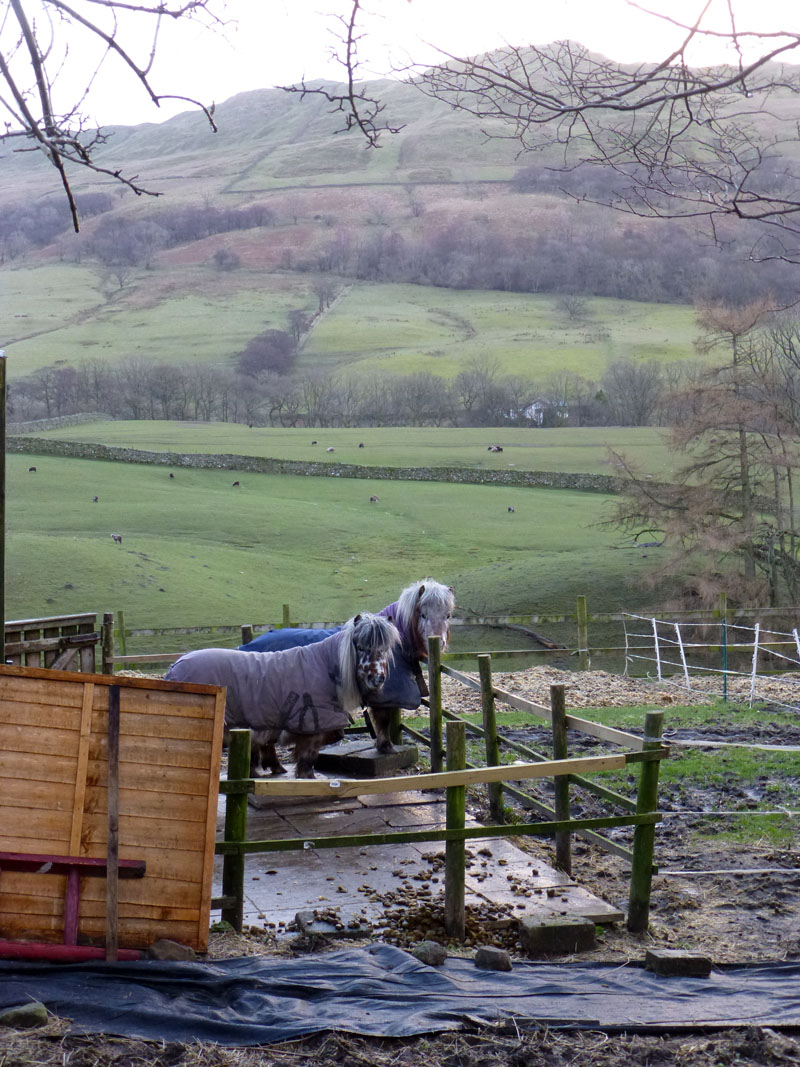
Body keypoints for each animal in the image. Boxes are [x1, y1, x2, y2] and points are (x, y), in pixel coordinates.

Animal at [166, 613, 400, 778]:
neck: (324, 667)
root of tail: (174, 667)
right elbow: (307, 759)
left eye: (386, 648)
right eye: (360, 646)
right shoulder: (311, 727)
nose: (377, 678)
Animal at [239, 579, 455, 755]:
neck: (395, 642)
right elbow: (383, 720)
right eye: (423, 614)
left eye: (448, 615)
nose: (439, 641)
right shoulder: (382, 696)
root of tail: (245, 647)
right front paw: (386, 746)